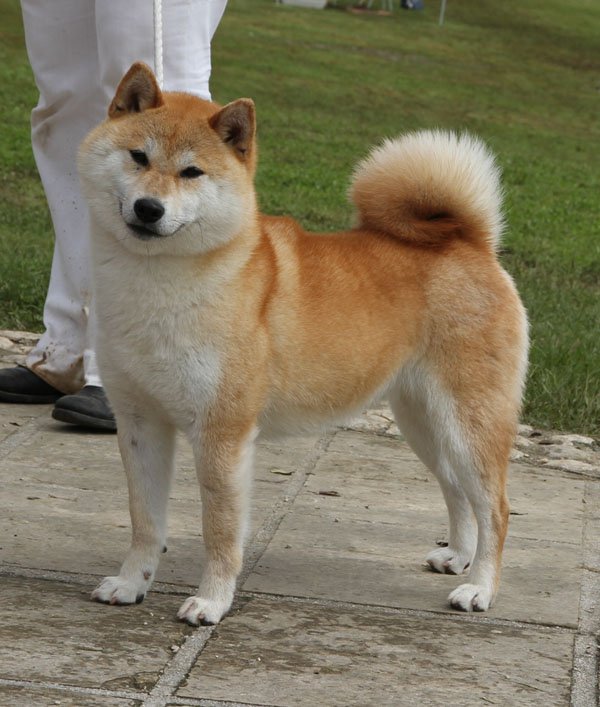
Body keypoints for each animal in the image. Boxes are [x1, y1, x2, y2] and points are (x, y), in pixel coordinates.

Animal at [78, 62, 528, 626]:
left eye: (192, 173)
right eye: (139, 156)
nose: (148, 208)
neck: (158, 288)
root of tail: (470, 241)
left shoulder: (223, 434)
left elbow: (219, 532)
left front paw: (211, 601)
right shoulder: (140, 422)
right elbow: (144, 520)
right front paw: (131, 583)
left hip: (469, 419)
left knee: (496, 506)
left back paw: (480, 588)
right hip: (423, 421)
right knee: (457, 489)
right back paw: (459, 557)